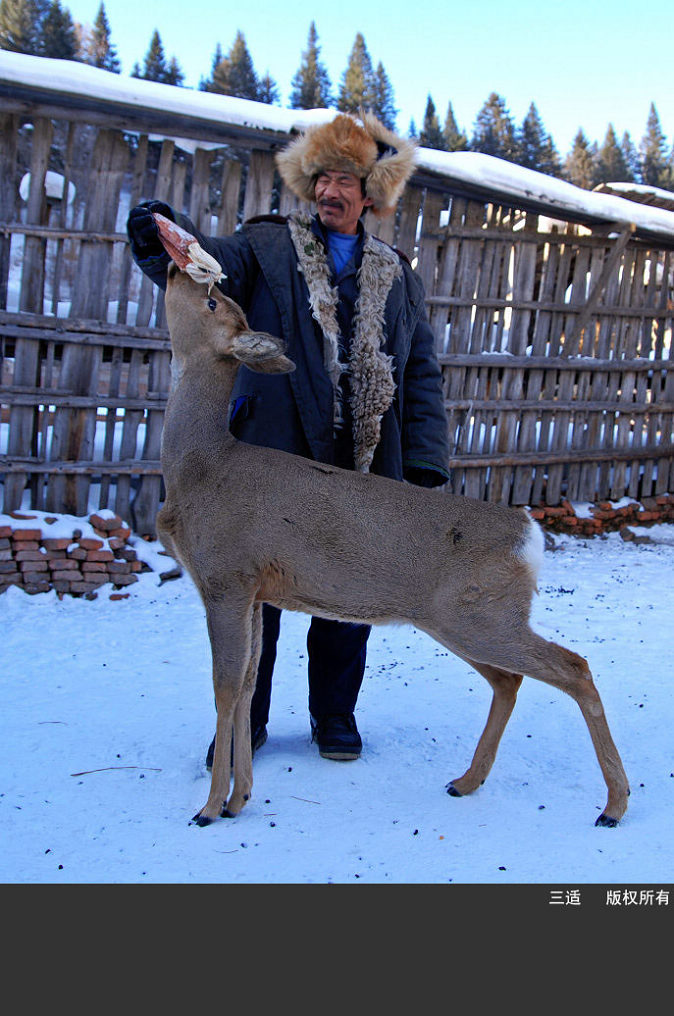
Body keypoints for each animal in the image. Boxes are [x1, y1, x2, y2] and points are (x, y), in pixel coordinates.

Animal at [150, 212, 630, 824]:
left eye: (212, 301)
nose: (170, 264)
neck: (201, 466)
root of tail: (531, 536)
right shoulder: (256, 588)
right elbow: (251, 681)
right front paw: (240, 797)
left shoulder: (225, 574)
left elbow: (226, 686)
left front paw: (211, 807)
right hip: (462, 616)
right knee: (510, 679)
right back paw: (466, 781)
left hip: (480, 613)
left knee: (574, 667)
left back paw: (613, 805)